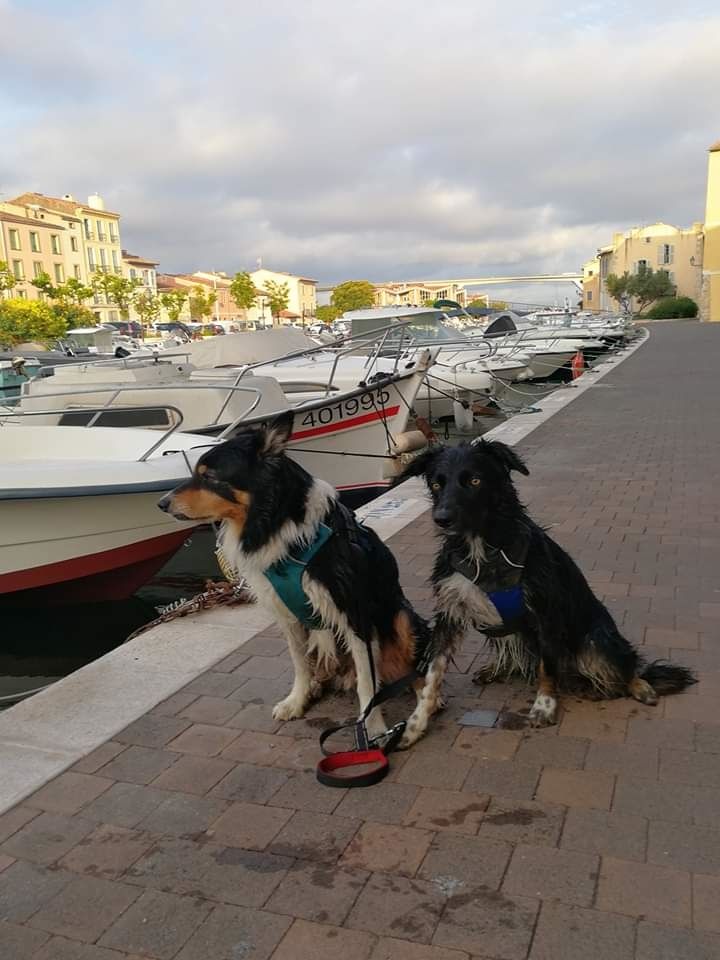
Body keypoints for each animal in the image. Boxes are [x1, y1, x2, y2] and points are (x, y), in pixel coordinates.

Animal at [160, 416, 444, 748]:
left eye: (210, 477)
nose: (162, 503)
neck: (275, 522)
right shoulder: (286, 612)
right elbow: (300, 664)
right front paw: (297, 701)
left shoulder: (354, 612)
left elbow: (367, 682)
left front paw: (373, 728)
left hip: (400, 616)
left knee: (410, 668)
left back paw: (426, 700)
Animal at [396, 438, 696, 724]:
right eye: (437, 484)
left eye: (474, 481)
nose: (442, 519)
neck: (482, 548)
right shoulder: (451, 609)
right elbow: (434, 668)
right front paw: (418, 720)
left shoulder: (545, 611)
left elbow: (546, 665)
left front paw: (544, 705)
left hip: (595, 638)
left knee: (625, 664)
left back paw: (639, 686)